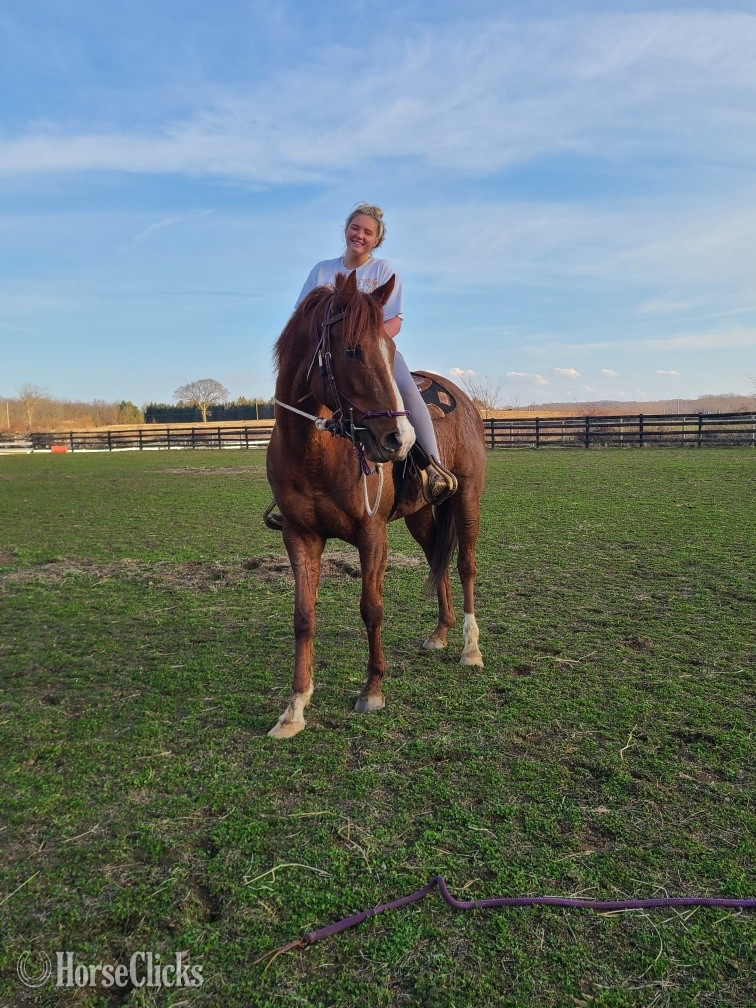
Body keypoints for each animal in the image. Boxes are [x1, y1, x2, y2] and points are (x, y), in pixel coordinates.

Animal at [266, 269, 486, 738]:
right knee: (437, 558)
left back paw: (470, 647)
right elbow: (303, 617)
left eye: (389, 349)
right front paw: (295, 707)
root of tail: (461, 398)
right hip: (420, 515)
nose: (398, 440)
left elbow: (372, 609)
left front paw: (372, 690)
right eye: (351, 350)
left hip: (468, 500)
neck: (316, 452)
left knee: (465, 565)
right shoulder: (300, 536)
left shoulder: (372, 534)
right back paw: (440, 631)